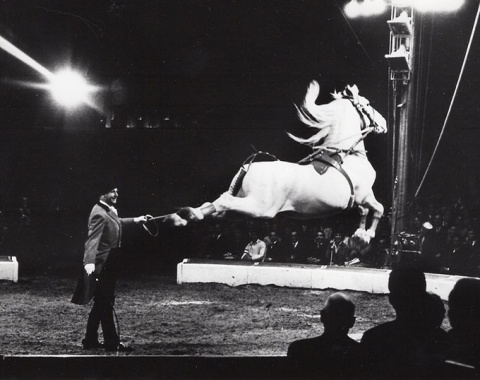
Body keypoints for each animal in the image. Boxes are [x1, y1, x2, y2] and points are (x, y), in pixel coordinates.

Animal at [160, 81, 386, 245]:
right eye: (368, 104)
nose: (383, 124)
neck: (346, 154)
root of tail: (247, 167)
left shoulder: (361, 198)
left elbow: (366, 210)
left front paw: (360, 236)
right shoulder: (364, 194)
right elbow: (378, 208)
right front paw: (365, 236)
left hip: (240, 210)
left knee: (214, 208)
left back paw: (181, 217)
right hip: (259, 208)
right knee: (222, 202)